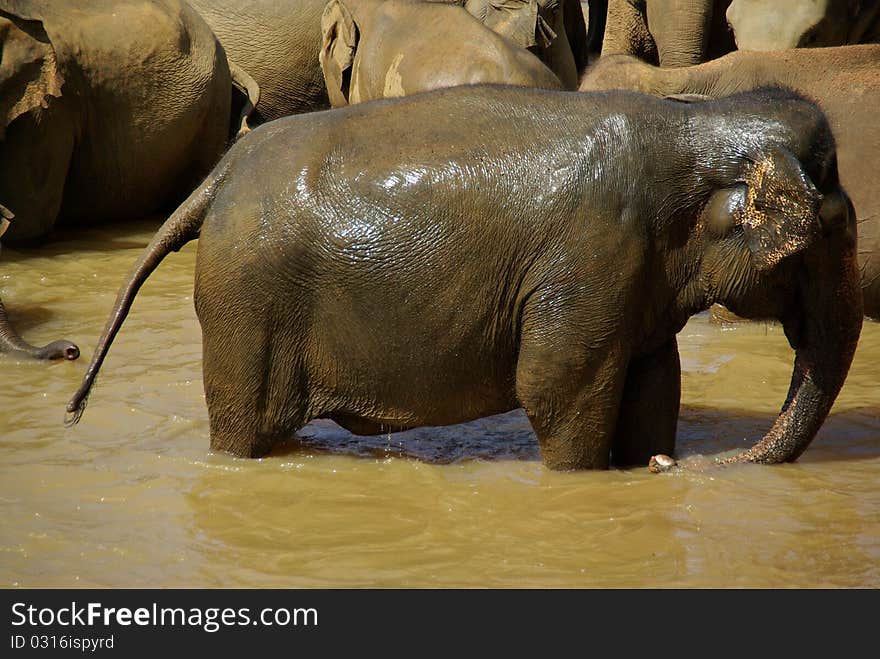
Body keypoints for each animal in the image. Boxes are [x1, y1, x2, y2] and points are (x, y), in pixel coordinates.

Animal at [67, 85, 860, 472]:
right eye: (839, 231)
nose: (685, 466)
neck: (698, 123)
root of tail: (221, 173)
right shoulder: (590, 263)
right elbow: (555, 390)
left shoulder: (635, 283)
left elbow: (653, 383)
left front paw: (646, 460)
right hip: (245, 301)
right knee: (244, 429)